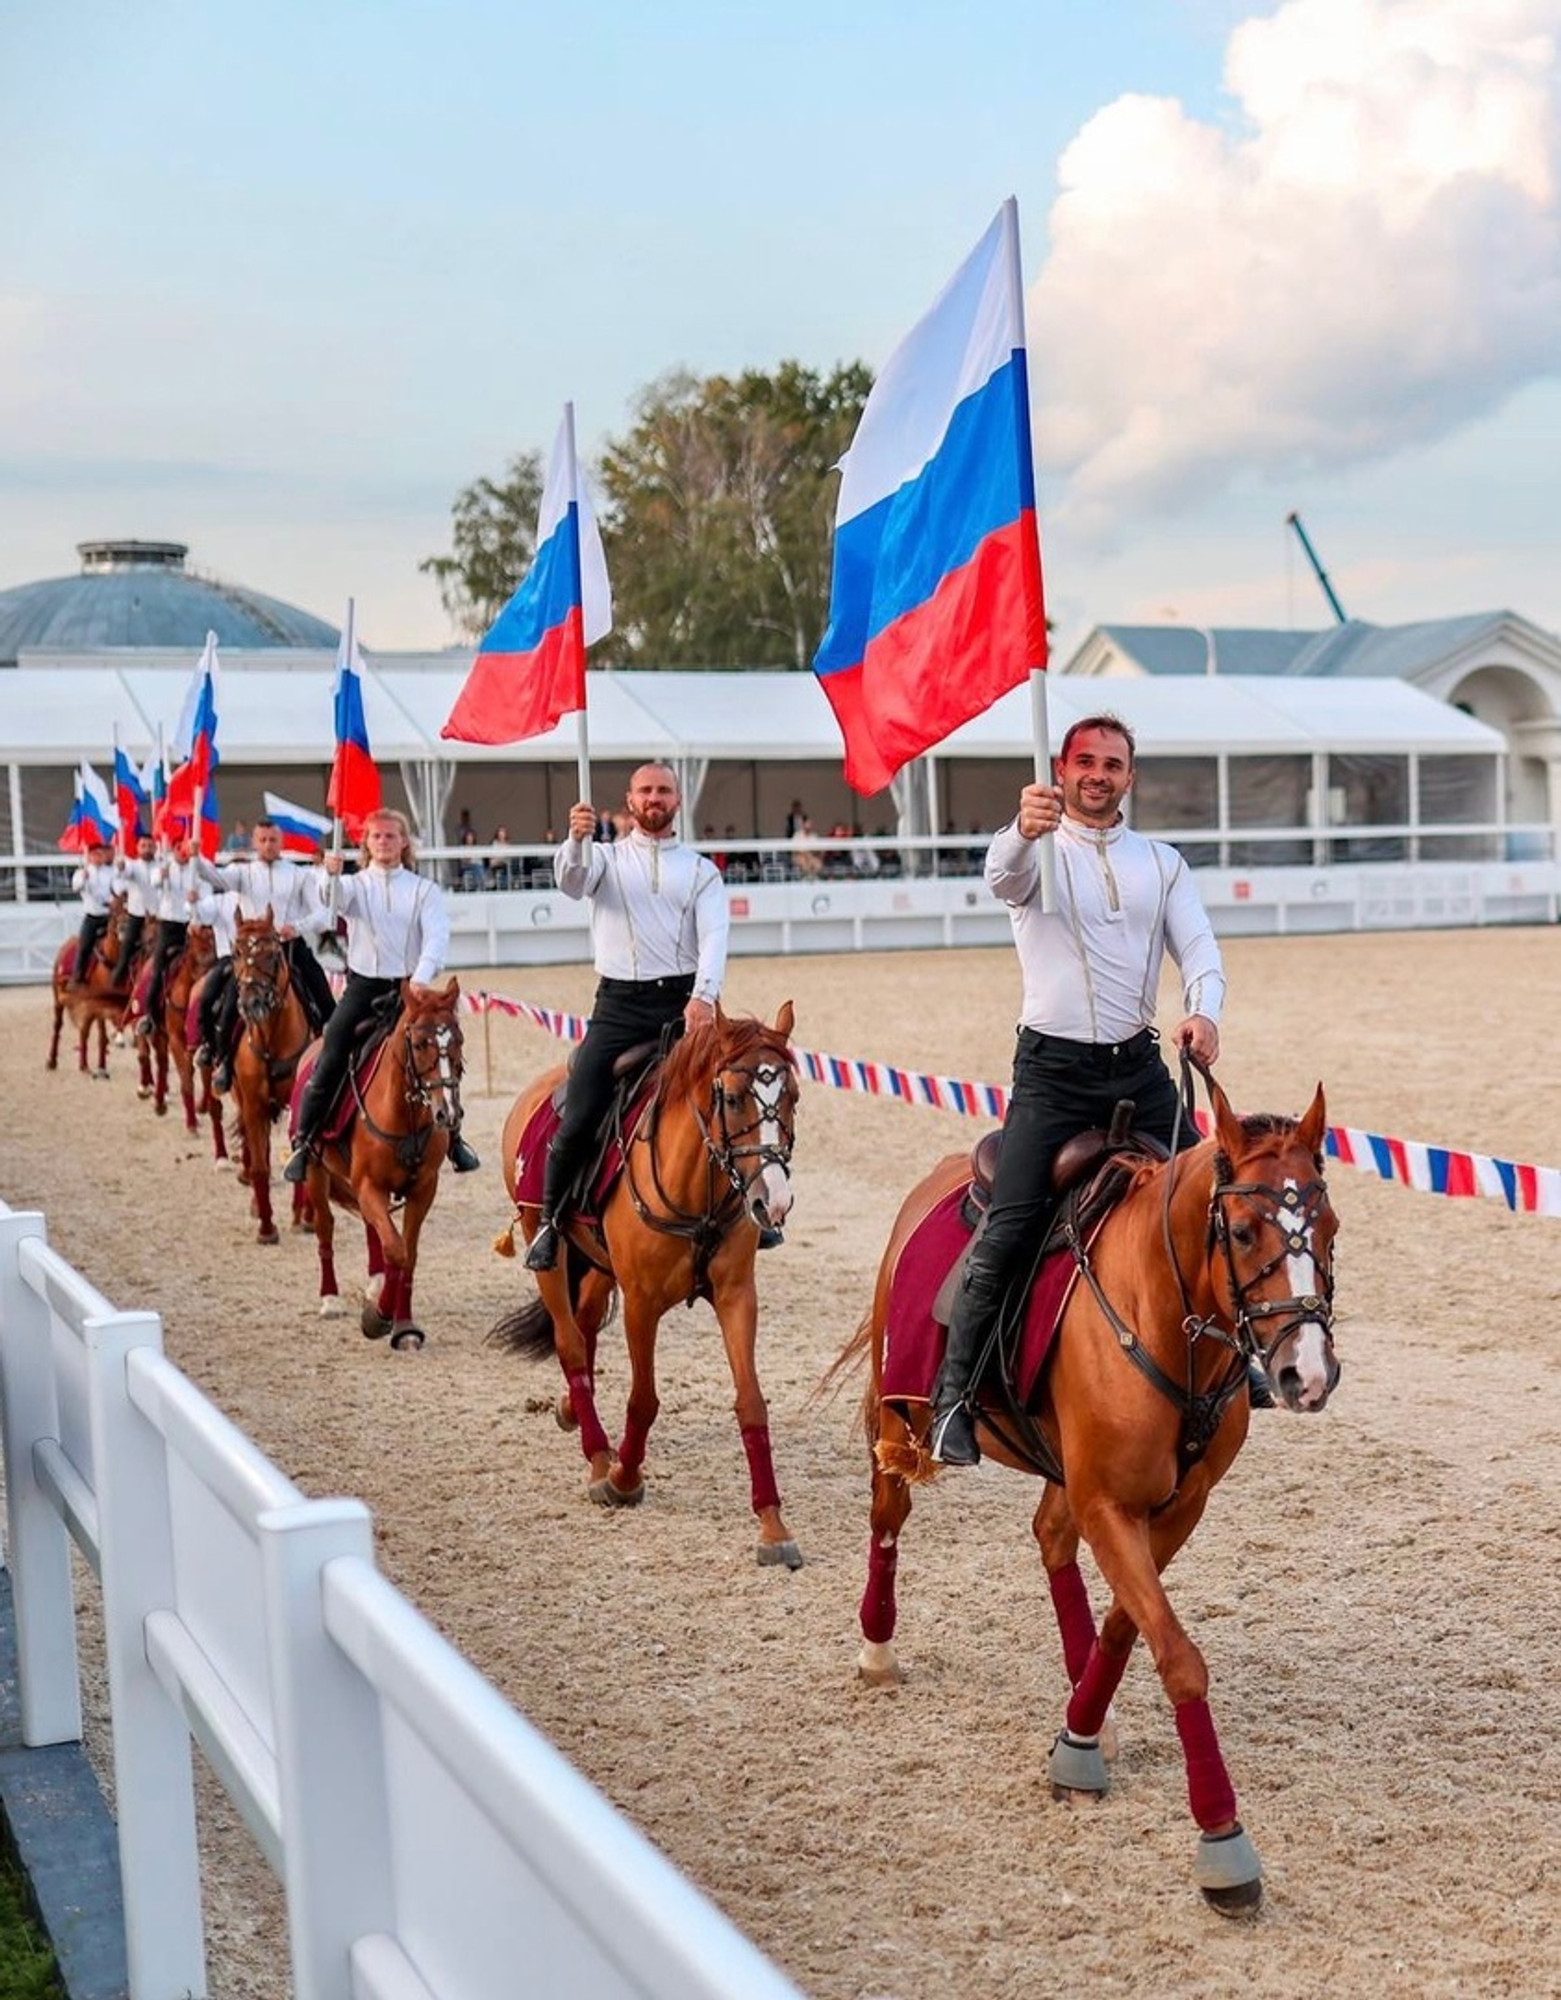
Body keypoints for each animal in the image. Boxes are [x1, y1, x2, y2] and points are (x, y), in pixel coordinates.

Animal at [48, 896, 131, 1080]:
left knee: (83, 1031)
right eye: (112, 910)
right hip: (58, 998)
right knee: (58, 1025)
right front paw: (101, 1068)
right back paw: (52, 1061)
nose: (123, 928)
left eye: (129, 909)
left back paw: (84, 1065)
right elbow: (101, 1034)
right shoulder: (99, 1005)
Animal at [225, 916, 314, 1240]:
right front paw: (266, 1226)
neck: (270, 1043)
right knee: (257, 1151)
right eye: (236, 952)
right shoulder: (253, 1104)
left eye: (274, 955)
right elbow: (261, 1165)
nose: (252, 1002)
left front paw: (304, 1216)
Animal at [302, 976, 464, 1352]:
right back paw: (330, 1299)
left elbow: (407, 1254)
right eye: (419, 1043)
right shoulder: (369, 1186)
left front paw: (402, 1325)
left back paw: (374, 1284)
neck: (403, 1115)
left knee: (370, 1227)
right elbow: (395, 1248)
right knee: (325, 1227)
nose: (447, 1113)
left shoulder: (422, 1189)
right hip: (316, 1173)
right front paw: (376, 1318)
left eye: (459, 1040)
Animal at [490, 1000, 804, 1560]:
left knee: (586, 1321)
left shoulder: (736, 1297)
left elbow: (751, 1403)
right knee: (570, 1342)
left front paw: (773, 1525)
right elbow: (644, 1399)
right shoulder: (642, 1302)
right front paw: (624, 1479)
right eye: (731, 1097)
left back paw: (574, 1410)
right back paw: (597, 1456)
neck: (697, 1190)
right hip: (544, 1244)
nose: (774, 1201)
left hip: (597, 1264)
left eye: (792, 1096)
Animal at [836, 1072, 1336, 1912]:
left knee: (1048, 1539)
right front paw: (1222, 1842)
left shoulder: (1175, 1505)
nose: (1307, 1372)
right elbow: (1176, 1655)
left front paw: (1078, 1736)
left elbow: (1127, 1628)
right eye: (1239, 1232)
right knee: (888, 1515)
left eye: (1328, 1224)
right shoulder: (1109, 1502)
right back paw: (877, 1647)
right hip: (900, 1413)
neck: (1161, 1317)